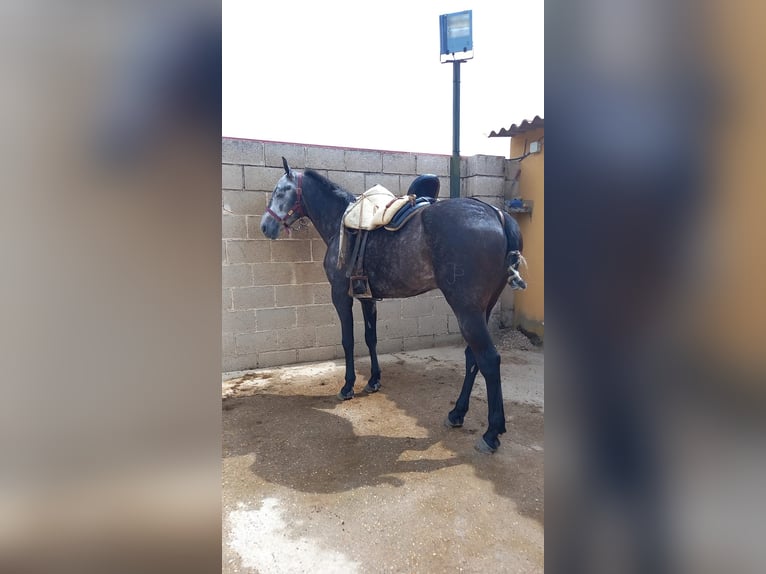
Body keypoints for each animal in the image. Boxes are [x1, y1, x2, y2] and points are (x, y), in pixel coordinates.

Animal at [260, 158, 528, 454]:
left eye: (280, 191)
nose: (265, 227)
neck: (342, 222)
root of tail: (497, 215)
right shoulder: (368, 297)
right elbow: (371, 338)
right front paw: (374, 380)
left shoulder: (340, 295)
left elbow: (348, 340)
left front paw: (348, 386)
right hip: (483, 309)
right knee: (473, 357)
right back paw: (457, 413)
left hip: (467, 310)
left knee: (489, 360)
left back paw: (491, 433)